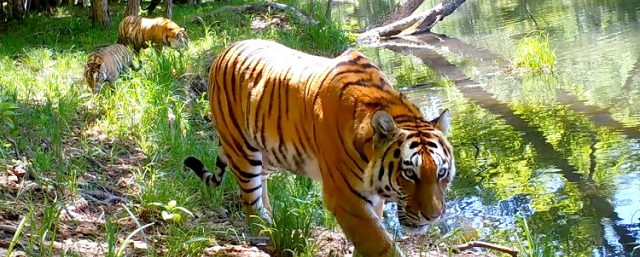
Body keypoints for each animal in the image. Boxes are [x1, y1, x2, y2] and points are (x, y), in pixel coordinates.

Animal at [185, 39, 456, 256]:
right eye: (409, 173)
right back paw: (268, 235)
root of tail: (224, 50)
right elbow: (380, 244)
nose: (434, 216)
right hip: (242, 151)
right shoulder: (346, 198)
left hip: (269, 154)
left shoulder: (371, 198)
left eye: (441, 172)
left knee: (261, 189)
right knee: (250, 202)